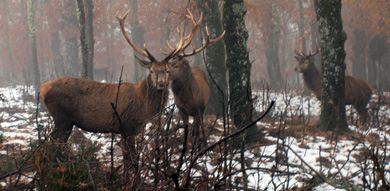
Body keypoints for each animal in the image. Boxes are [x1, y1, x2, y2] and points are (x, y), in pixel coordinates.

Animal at [39, 9, 201, 166]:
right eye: (151, 70)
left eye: (167, 70)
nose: (161, 83)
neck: (144, 108)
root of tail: (42, 89)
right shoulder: (128, 127)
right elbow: (131, 162)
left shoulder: (124, 131)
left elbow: (127, 159)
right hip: (61, 117)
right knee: (52, 145)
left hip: (66, 121)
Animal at [160, 10, 224, 142]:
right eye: (168, 64)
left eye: (176, 65)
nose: (163, 76)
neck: (188, 100)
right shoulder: (182, 110)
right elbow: (186, 130)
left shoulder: (199, 108)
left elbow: (197, 129)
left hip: (203, 108)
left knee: (200, 127)